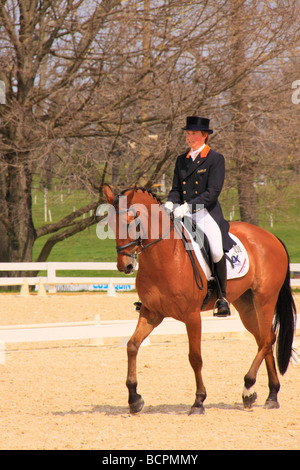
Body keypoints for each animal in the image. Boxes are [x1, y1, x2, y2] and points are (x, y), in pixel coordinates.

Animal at [102, 184, 296, 414]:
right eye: (111, 224)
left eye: (131, 222)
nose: (125, 266)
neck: (164, 256)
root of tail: (271, 237)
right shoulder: (151, 312)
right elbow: (132, 345)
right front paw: (134, 398)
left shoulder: (192, 316)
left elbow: (195, 358)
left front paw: (199, 401)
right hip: (247, 305)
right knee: (264, 339)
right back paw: (270, 395)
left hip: (264, 299)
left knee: (266, 339)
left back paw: (248, 388)